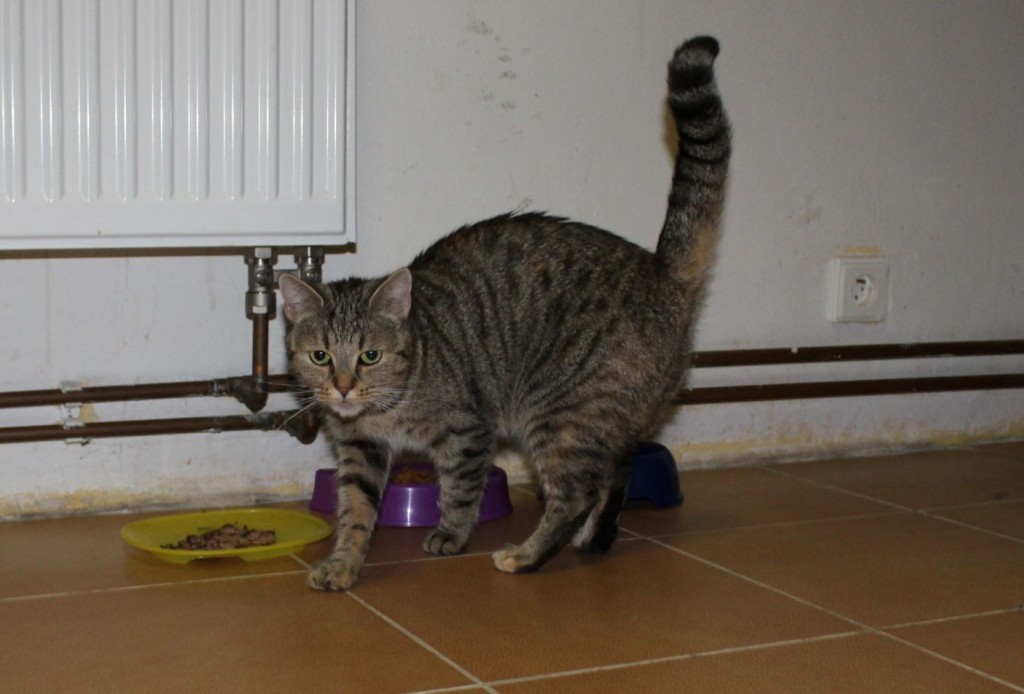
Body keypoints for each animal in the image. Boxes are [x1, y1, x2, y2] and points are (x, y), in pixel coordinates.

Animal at [279, 36, 731, 591]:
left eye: (369, 356)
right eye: (320, 356)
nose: (342, 388)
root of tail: (662, 272)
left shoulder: (467, 432)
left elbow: (459, 491)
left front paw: (450, 535)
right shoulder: (359, 450)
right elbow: (355, 511)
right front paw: (344, 562)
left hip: (558, 408)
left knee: (575, 492)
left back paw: (526, 555)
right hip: (601, 419)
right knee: (614, 472)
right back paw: (596, 538)